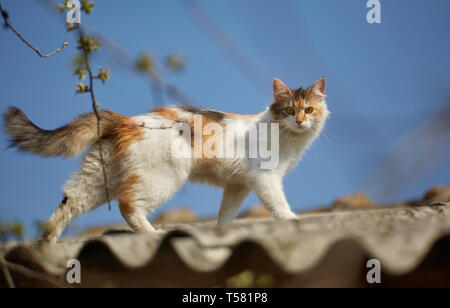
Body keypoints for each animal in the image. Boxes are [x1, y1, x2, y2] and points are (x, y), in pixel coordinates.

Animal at [1, 77, 328, 243]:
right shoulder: (265, 178)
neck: (287, 137)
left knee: (68, 201)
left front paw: (221, 231)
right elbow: (278, 204)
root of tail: (128, 121)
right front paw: (292, 220)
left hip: (99, 178)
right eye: (289, 110)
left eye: (309, 110)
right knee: (128, 205)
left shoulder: (238, 185)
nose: (300, 121)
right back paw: (152, 233)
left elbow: (226, 214)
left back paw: (47, 244)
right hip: (164, 177)